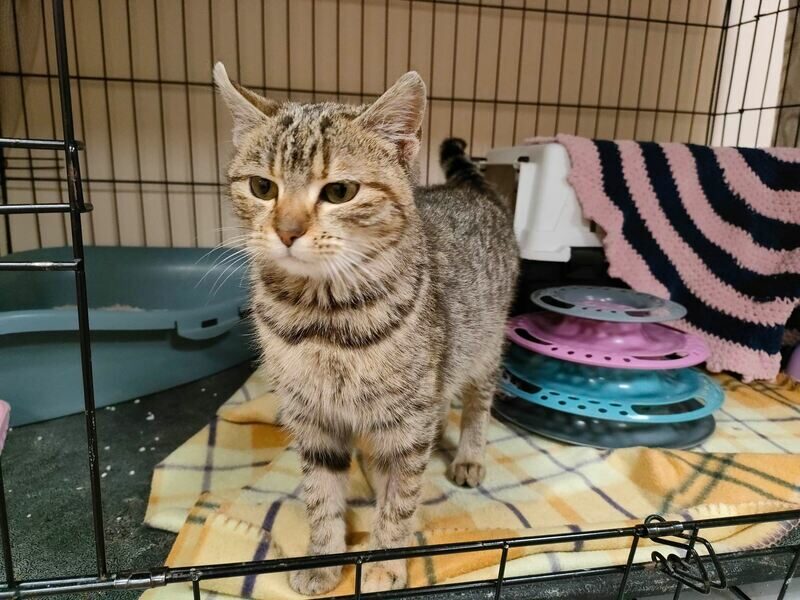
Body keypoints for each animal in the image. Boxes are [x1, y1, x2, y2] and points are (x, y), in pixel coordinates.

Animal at [214, 63, 519, 594]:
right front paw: (322, 560)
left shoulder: (406, 424)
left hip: (484, 345)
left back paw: (468, 454)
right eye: (262, 187)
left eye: (340, 192)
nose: (287, 231)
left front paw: (383, 564)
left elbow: (400, 500)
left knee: (477, 404)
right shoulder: (313, 420)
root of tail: (472, 191)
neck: (323, 319)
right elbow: (322, 497)